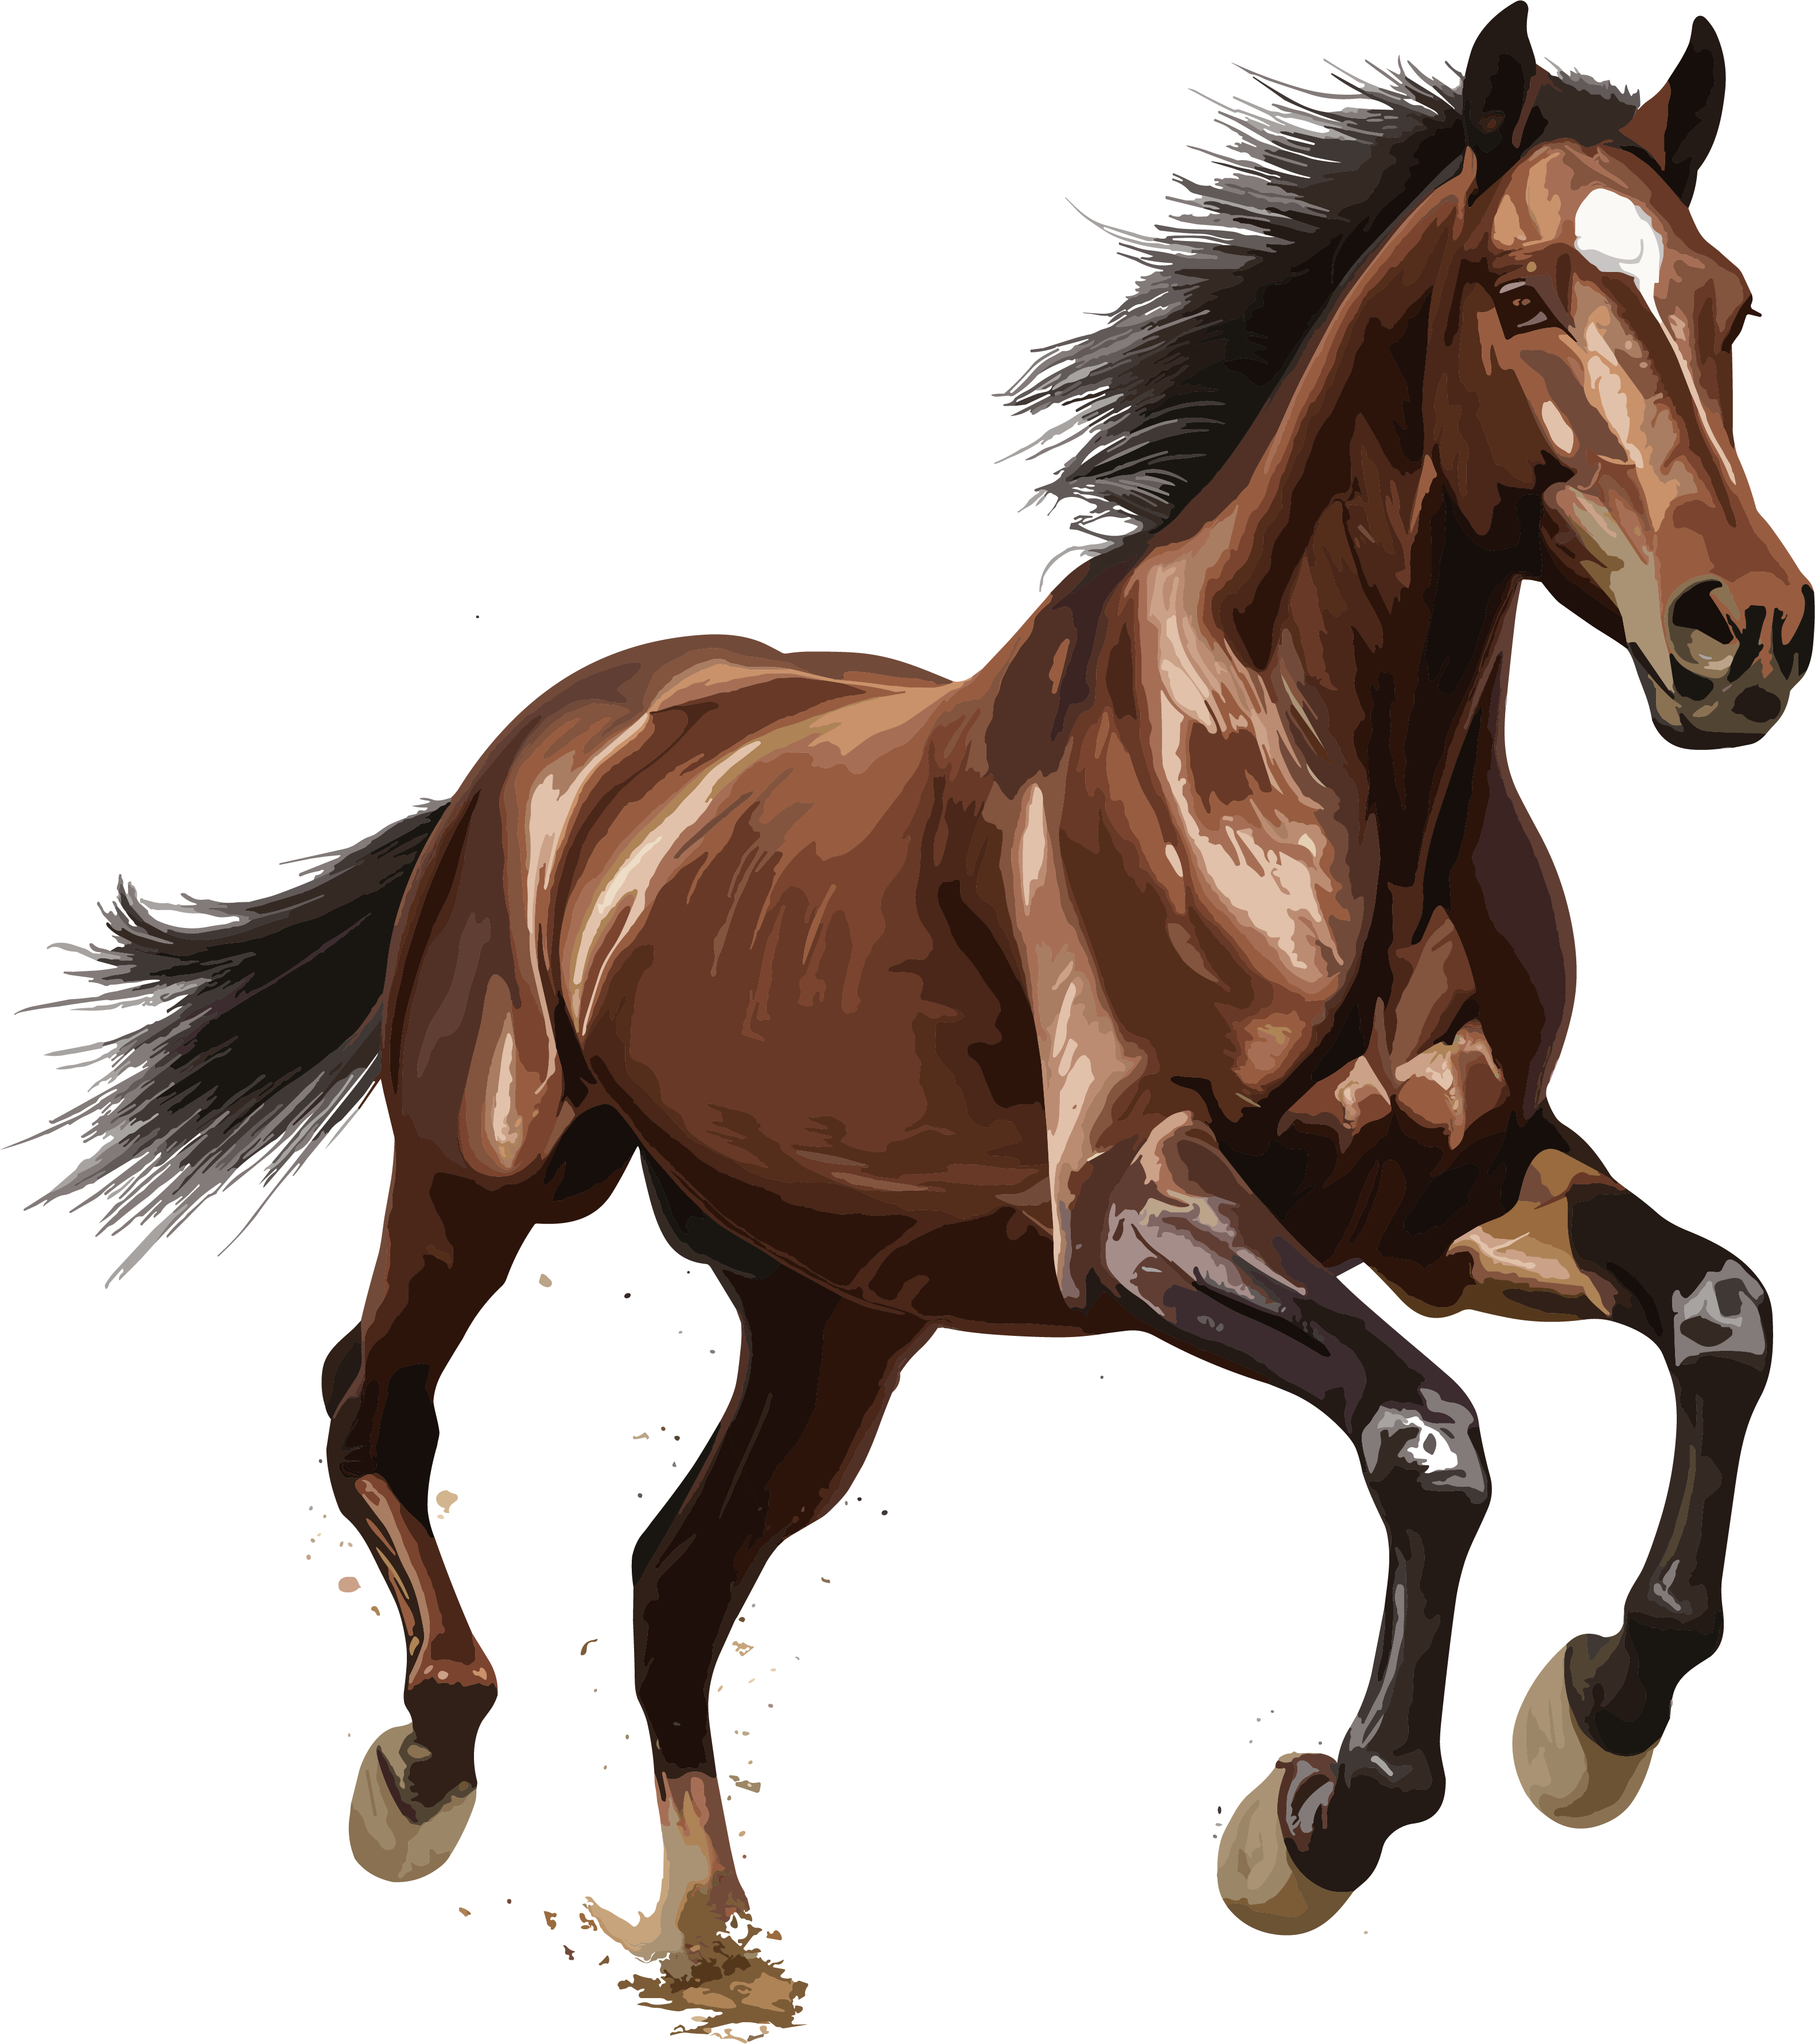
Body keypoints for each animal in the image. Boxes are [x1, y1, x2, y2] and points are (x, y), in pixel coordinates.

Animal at [33, 1, 1803, 1958]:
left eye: (1731, 307)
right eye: (1521, 297)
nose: (1744, 632)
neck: (1314, 781)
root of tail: (547, 751)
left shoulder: (1446, 1198)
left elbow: (1719, 1311)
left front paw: (1601, 1705)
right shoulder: (1138, 1206)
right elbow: (1429, 1436)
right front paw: (1317, 1820)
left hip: (832, 1323)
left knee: (673, 1575)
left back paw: (713, 1936)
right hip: (492, 1169)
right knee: (376, 1405)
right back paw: (426, 1757)